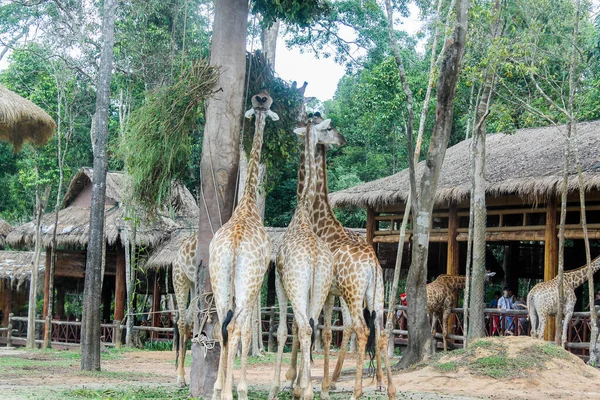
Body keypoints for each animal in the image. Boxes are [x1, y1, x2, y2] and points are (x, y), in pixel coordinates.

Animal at [268, 117, 344, 398]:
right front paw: (299, 384)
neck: (301, 212)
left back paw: (308, 388)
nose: (343, 140)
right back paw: (313, 388)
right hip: (323, 288)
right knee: (314, 328)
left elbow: (282, 330)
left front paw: (279, 386)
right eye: (329, 129)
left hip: (300, 287)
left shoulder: (279, 282)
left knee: (302, 327)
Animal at [288, 114, 396, 398]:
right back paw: (386, 386)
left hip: (352, 292)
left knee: (360, 329)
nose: (343, 140)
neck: (320, 221)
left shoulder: (325, 291)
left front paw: (297, 381)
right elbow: (323, 331)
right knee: (379, 330)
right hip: (374, 293)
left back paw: (355, 389)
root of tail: (372, 265)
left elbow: (315, 329)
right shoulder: (331, 292)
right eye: (330, 128)